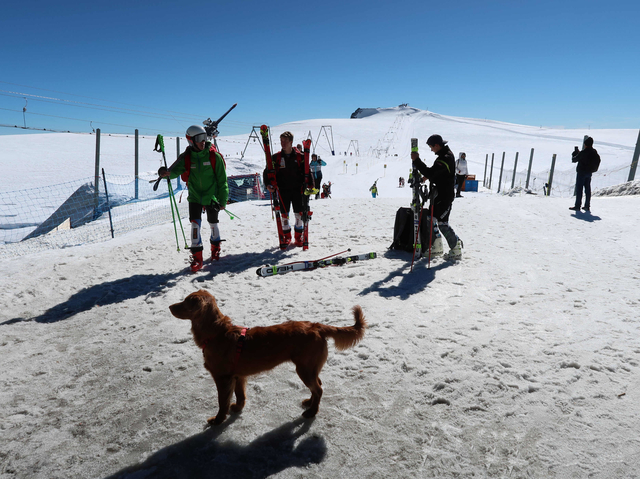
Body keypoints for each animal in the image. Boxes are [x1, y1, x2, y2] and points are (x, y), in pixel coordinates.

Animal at [170, 290, 368, 426]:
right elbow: (240, 395)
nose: (170, 306)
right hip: (310, 368)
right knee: (318, 385)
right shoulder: (238, 376)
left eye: (186, 302)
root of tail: (317, 326)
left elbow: (222, 402)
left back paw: (312, 412)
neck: (217, 333)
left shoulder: (222, 378)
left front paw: (218, 420)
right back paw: (310, 403)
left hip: (304, 368)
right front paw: (238, 408)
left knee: (318, 389)